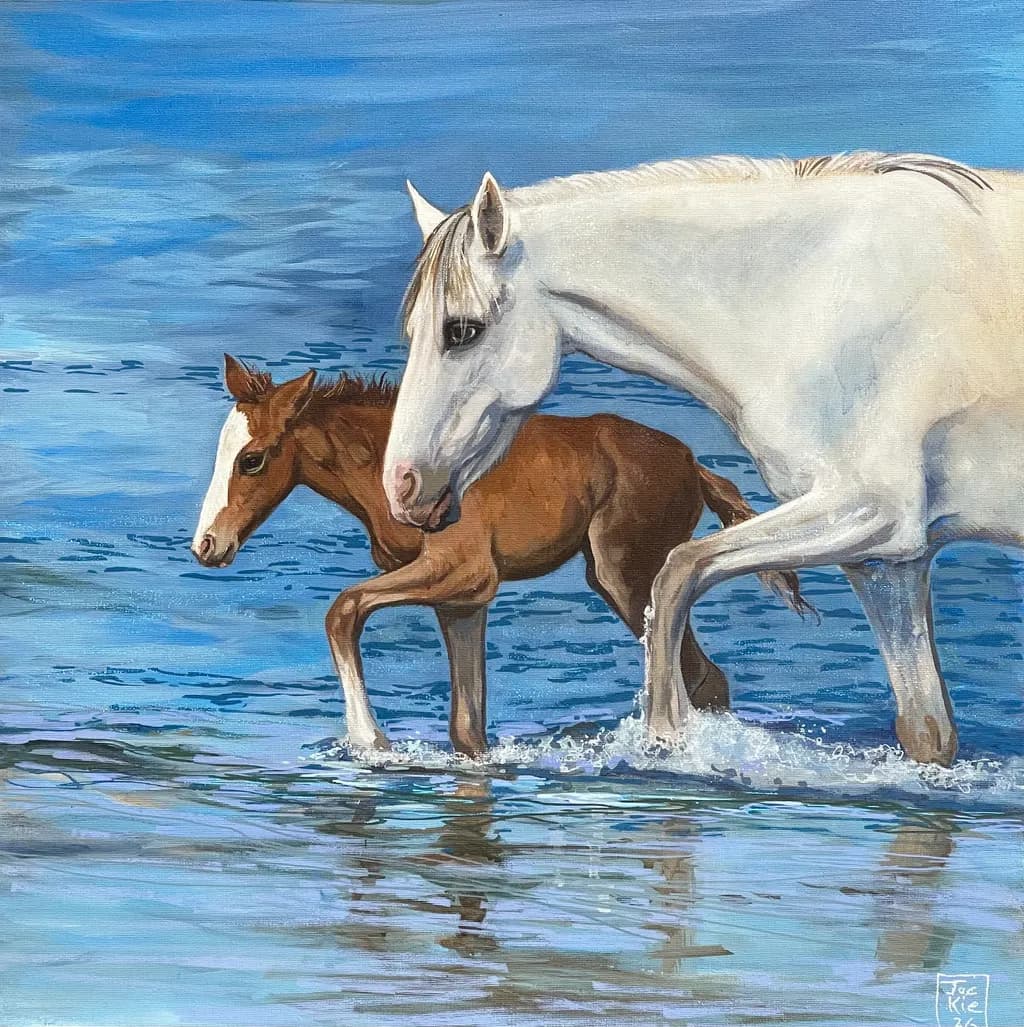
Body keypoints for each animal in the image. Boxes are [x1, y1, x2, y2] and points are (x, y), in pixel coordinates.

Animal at [191, 355, 808, 754]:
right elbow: (468, 728)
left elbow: (342, 609)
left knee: (701, 674)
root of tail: (692, 464)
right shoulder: (461, 602)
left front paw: (370, 741)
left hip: (626, 577)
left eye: (252, 459)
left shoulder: (464, 573)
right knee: (706, 677)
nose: (206, 546)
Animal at [382, 151, 1024, 766]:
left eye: (462, 330)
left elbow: (678, 573)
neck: (818, 300)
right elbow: (928, 735)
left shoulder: (873, 512)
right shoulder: (887, 561)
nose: (401, 487)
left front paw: (669, 734)